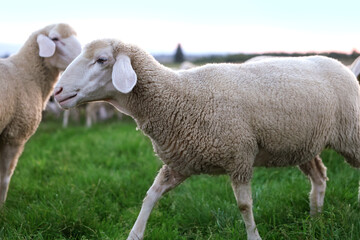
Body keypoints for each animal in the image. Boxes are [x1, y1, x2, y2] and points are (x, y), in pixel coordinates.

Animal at [54, 39, 360, 240]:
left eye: (101, 60)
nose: (57, 92)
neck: (178, 96)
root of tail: (344, 67)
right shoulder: (180, 162)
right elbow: (150, 196)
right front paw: (134, 234)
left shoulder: (239, 157)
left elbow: (244, 206)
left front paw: (254, 236)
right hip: (302, 145)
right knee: (319, 177)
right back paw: (315, 219)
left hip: (351, 134)